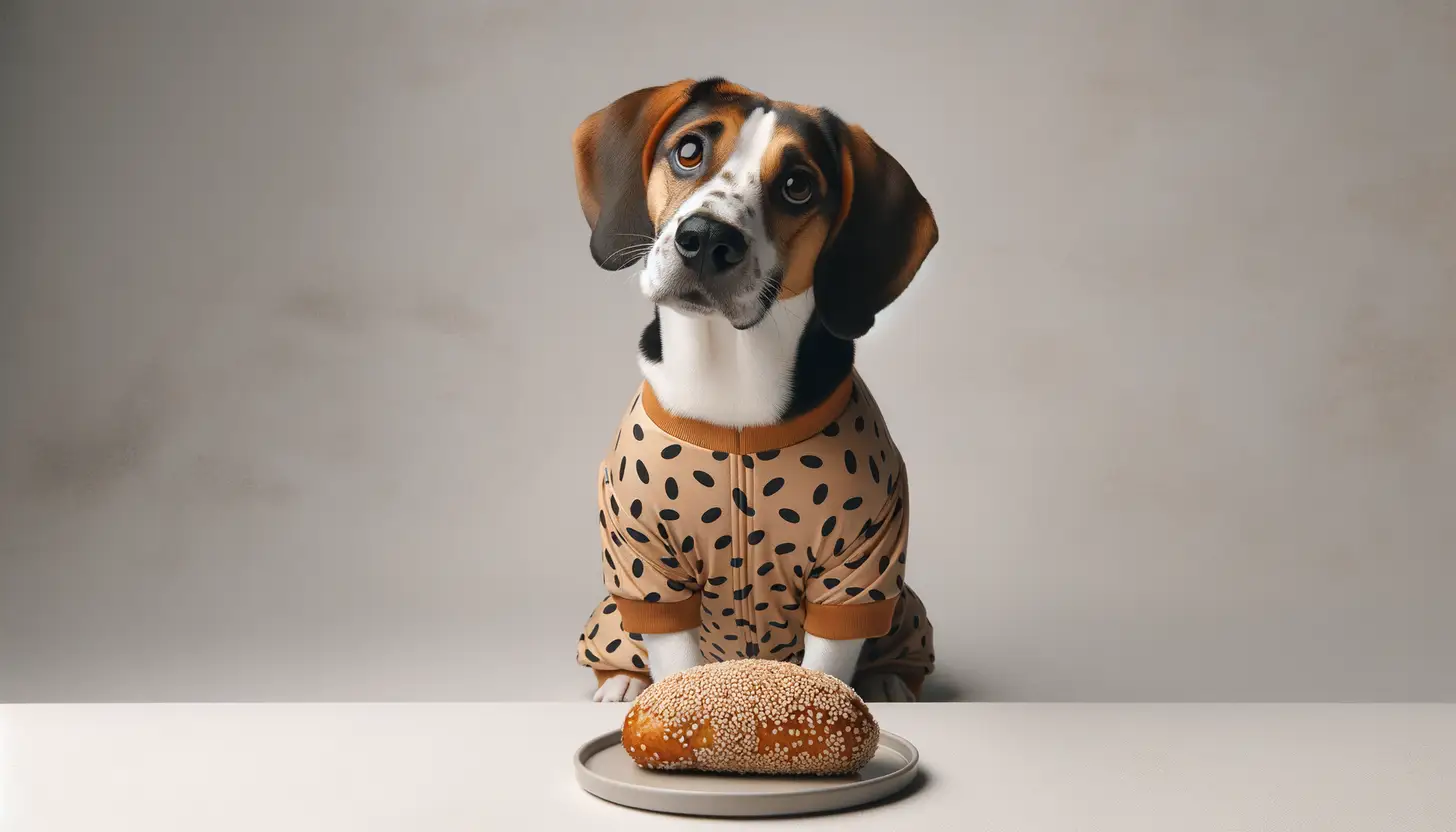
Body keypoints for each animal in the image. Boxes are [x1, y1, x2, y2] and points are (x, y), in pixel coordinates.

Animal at [567, 76, 931, 702]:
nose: (707, 237)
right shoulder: (646, 567)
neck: (731, 380)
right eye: (689, 151)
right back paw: (621, 681)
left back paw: (888, 681)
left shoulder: (857, 571)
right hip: (610, 611)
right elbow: (673, 661)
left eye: (797, 185)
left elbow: (830, 663)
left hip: (905, 605)